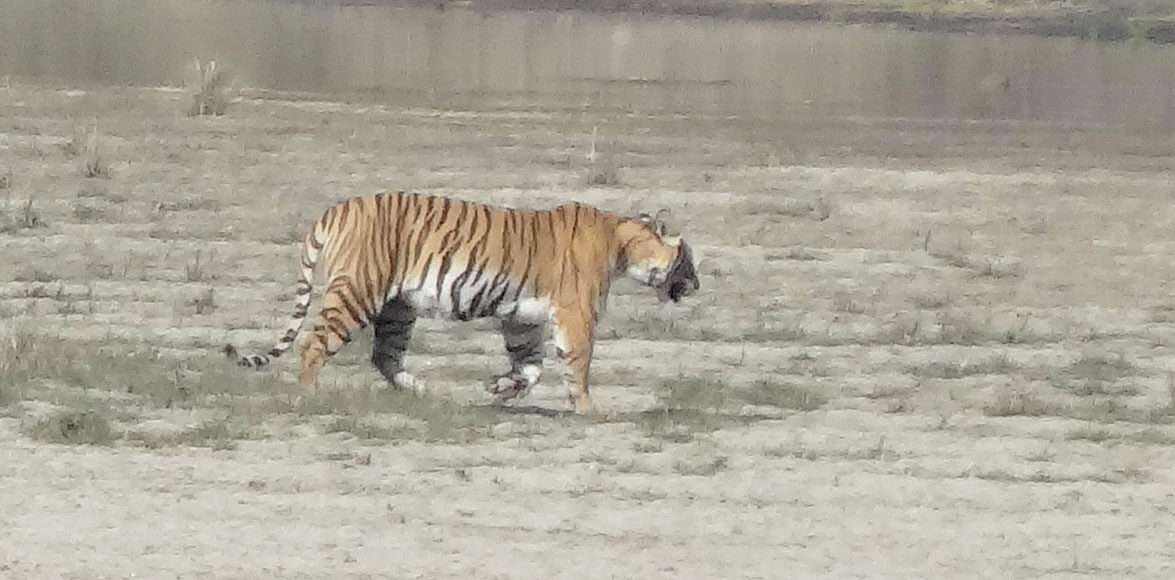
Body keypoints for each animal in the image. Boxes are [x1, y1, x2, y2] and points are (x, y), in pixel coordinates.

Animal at [220, 192, 695, 415]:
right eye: (688, 258)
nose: (696, 284)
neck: (622, 243)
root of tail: (336, 209)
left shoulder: (522, 320)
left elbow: (531, 367)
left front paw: (501, 388)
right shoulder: (576, 315)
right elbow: (577, 365)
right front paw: (588, 409)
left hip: (398, 307)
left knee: (385, 356)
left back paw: (426, 393)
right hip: (358, 292)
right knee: (314, 345)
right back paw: (312, 395)